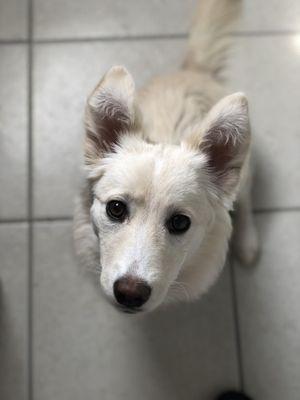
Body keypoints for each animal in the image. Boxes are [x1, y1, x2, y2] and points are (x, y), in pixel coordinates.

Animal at [72, 0, 258, 314]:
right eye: (115, 208)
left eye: (180, 222)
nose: (130, 293)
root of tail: (193, 69)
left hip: (245, 172)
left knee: (243, 201)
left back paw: (247, 242)